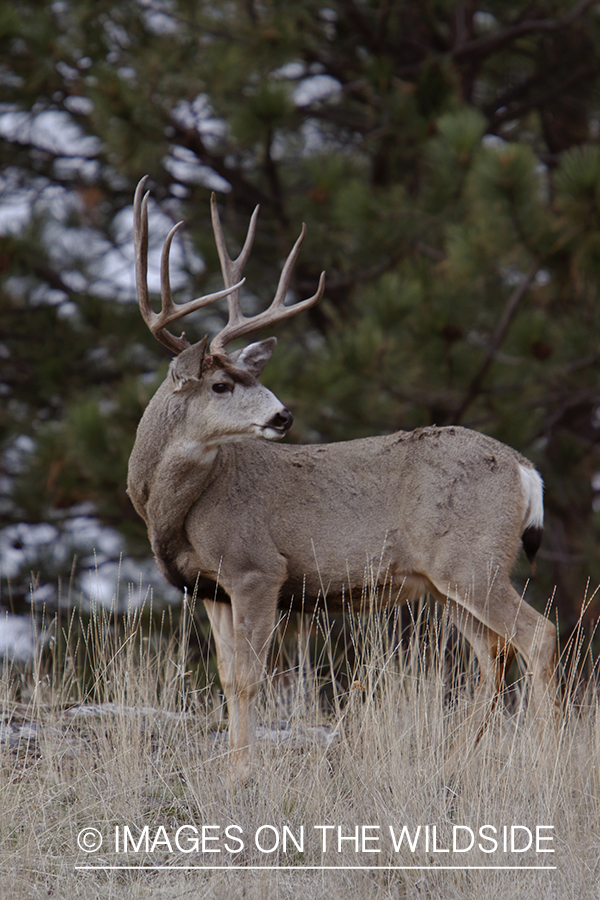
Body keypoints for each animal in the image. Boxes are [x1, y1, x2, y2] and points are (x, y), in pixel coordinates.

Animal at [126, 178, 556, 780]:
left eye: (244, 378)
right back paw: (451, 763)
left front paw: (242, 774)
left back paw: (548, 758)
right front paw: (232, 768)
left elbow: (249, 678)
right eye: (220, 385)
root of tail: (524, 468)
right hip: (447, 579)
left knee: (539, 636)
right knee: (494, 652)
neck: (173, 510)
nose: (283, 416)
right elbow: (228, 678)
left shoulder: (258, 567)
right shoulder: (211, 588)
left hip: (474, 560)